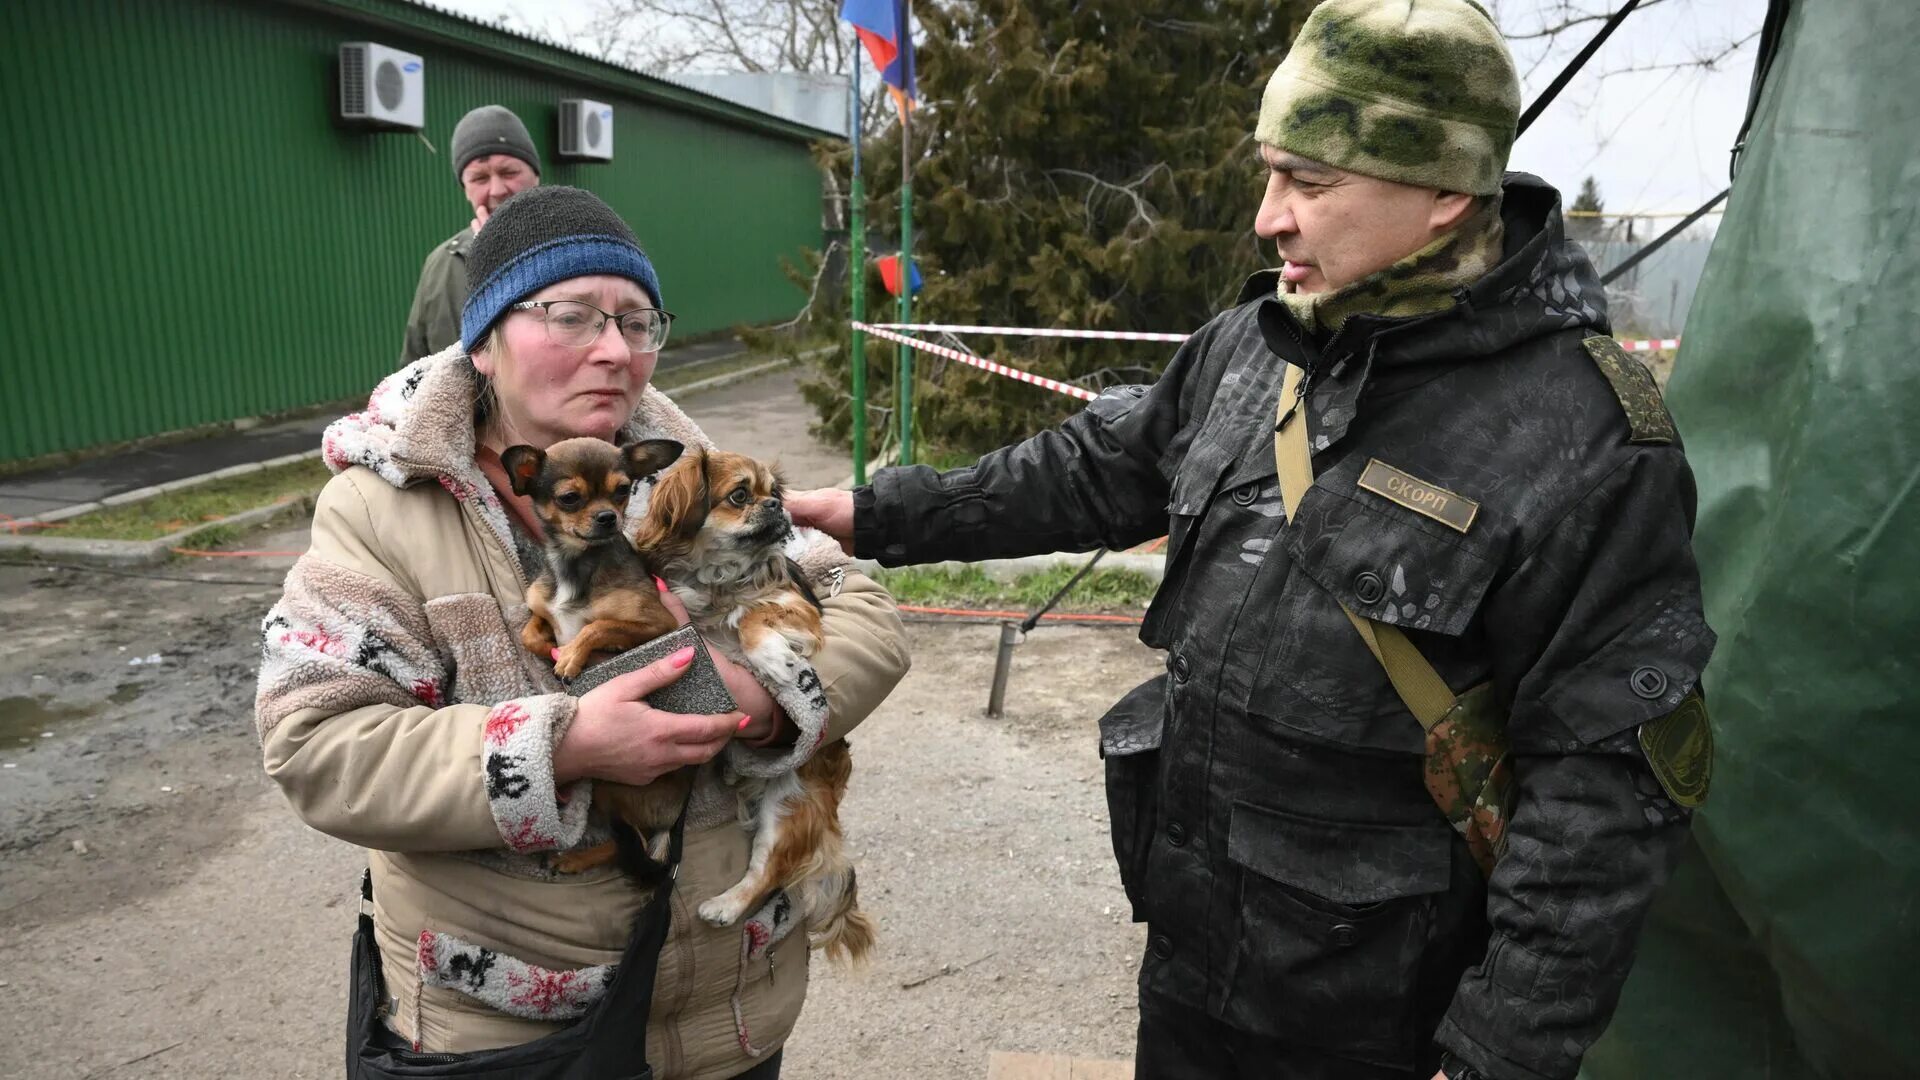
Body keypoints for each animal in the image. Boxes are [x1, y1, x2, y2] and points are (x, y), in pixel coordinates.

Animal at [637, 441, 879, 960]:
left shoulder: (798, 608)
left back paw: (724, 906)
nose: (776, 506)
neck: (717, 576)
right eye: (740, 495)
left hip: (788, 804)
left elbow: (750, 615)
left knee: (767, 870)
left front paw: (771, 659)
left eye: (774, 493)